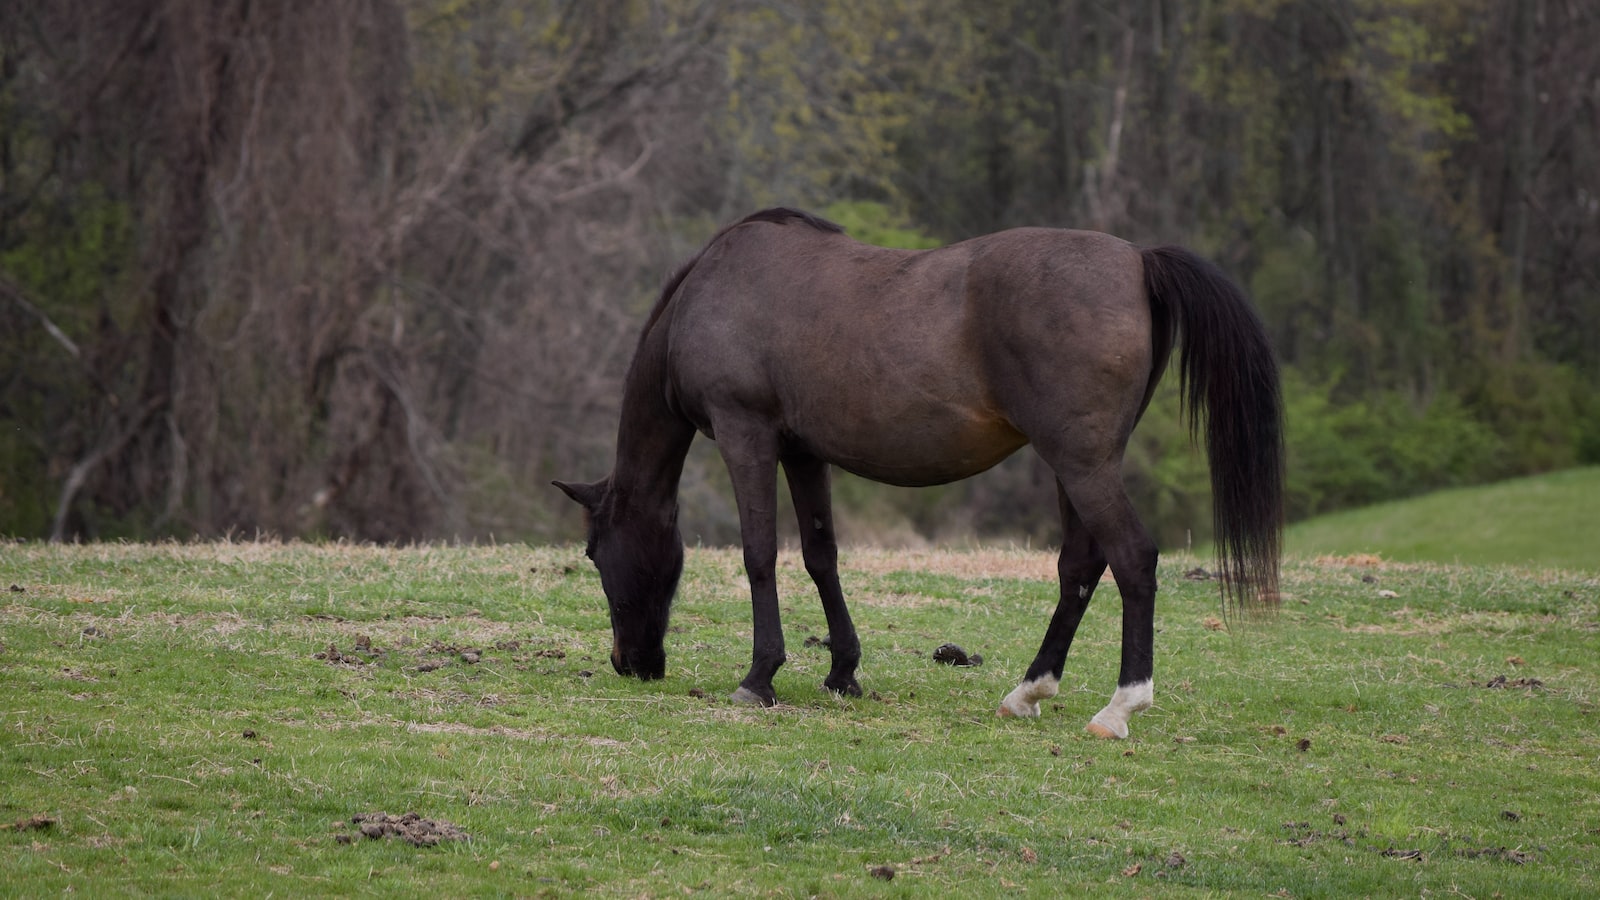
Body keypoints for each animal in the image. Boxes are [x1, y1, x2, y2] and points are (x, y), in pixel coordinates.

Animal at [556, 208, 1280, 736]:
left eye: (595, 553)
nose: (630, 663)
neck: (712, 291)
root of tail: (1136, 259)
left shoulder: (747, 436)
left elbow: (760, 554)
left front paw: (759, 677)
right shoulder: (803, 451)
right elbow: (821, 555)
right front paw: (842, 672)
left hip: (1083, 465)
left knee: (1132, 560)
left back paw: (1120, 706)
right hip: (1076, 466)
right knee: (1080, 566)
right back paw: (1029, 690)